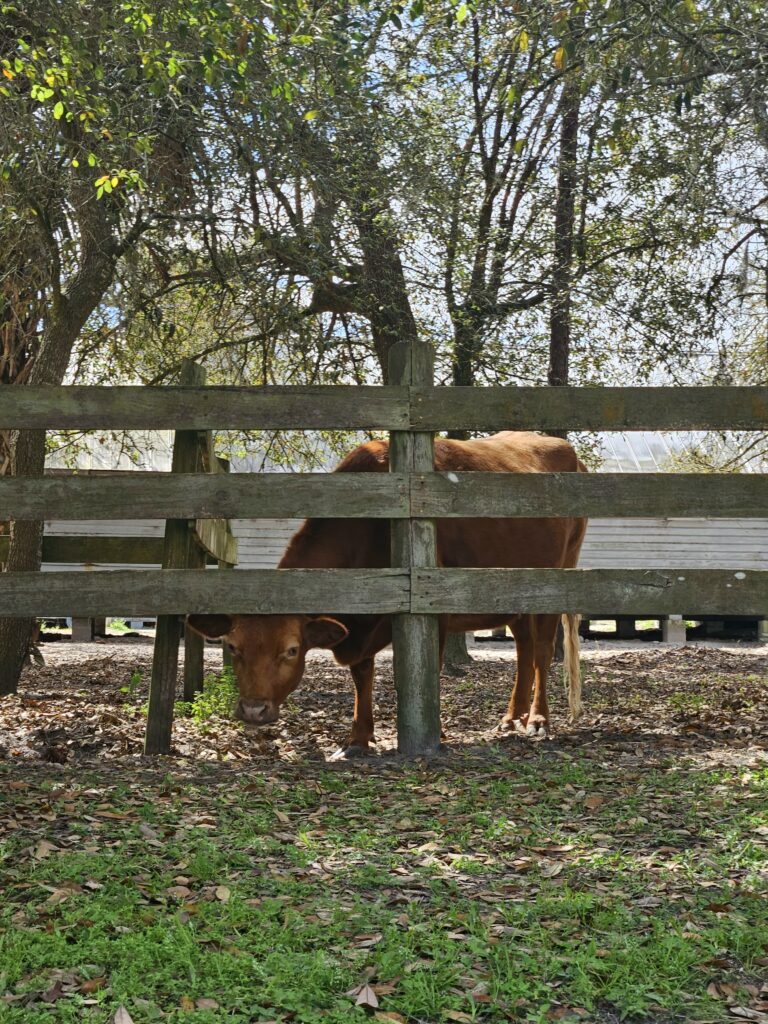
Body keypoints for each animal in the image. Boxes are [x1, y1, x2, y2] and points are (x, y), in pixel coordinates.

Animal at [188, 431, 587, 755]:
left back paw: (537, 719)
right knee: (523, 648)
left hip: (555, 581)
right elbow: (361, 674)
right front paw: (358, 737)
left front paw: (435, 734)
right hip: (515, 594)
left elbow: (429, 670)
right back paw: (511, 716)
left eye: (291, 650)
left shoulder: (433, 611)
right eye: (232, 647)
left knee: (540, 650)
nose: (253, 709)